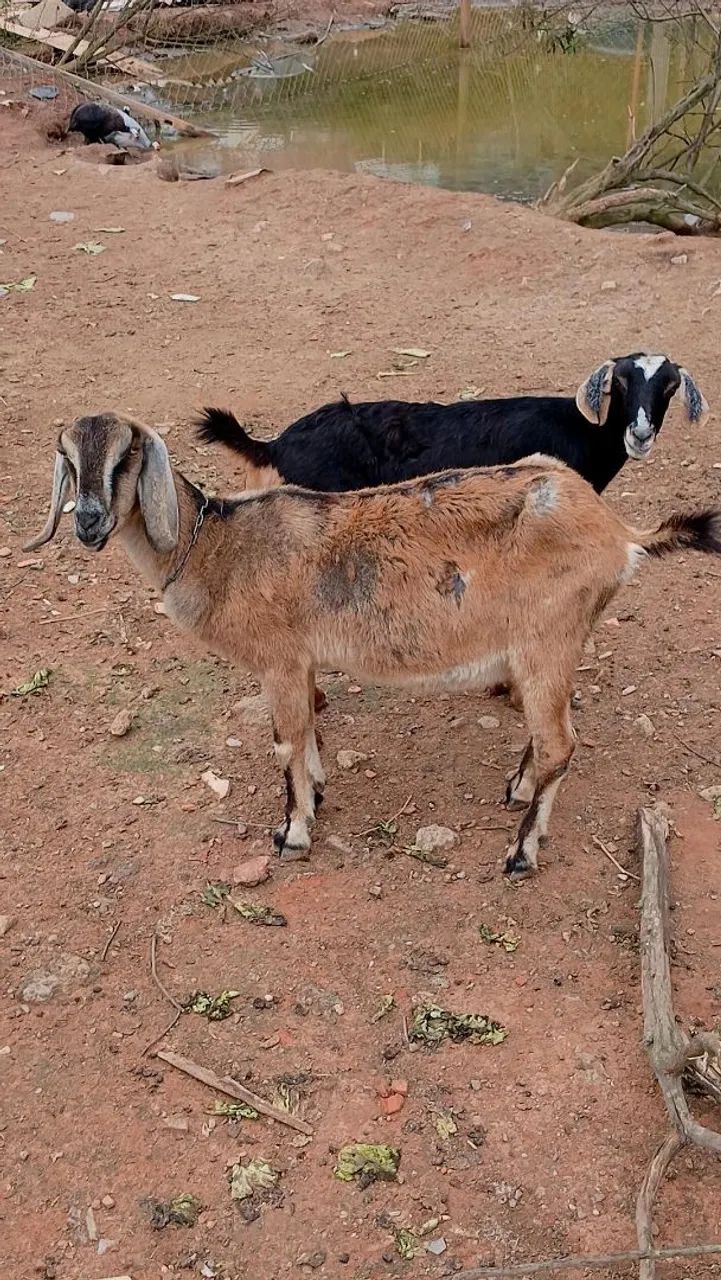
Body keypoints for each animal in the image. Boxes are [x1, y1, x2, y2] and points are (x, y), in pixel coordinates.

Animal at [26, 414, 721, 877]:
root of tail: (620, 535)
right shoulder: (301, 663)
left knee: (559, 743)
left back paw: (521, 851)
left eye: (124, 459)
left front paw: (292, 833)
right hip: (547, 650)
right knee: (550, 736)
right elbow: (309, 733)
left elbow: (285, 741)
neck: (219, 549)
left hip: (549, 639)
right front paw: (318, 792)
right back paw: (519, 789)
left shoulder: (279, 660)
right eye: (71, 461)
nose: (87, 521)